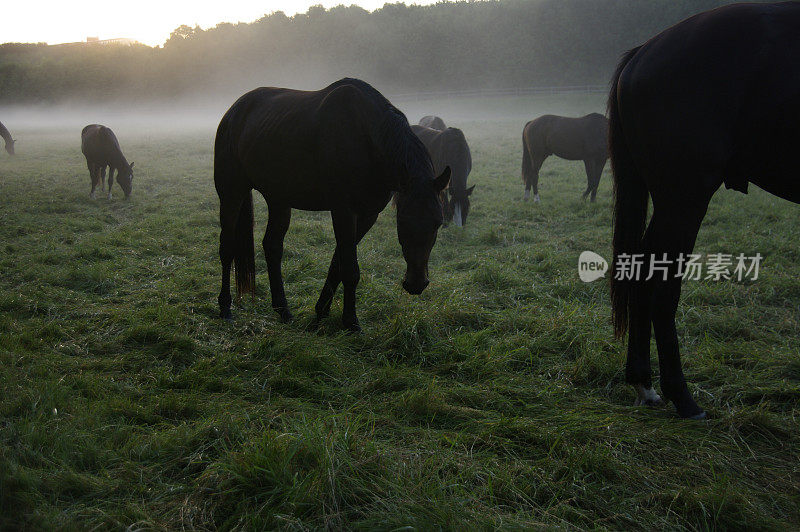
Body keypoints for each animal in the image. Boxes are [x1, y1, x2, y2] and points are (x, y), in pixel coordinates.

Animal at [214, 78, 450, 330]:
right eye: (403, 221)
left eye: (438, 223)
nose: (416, 284)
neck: (367, 138)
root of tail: (234, 111)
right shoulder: (343, 211)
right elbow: (349, 269)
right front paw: (351, 322)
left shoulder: (368, 215)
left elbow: (338, 263)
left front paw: (321, 311)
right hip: (232, 192)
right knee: (227, 246)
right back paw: (225, 307)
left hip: (278, 200)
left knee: (272, 246)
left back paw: (283, 310)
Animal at [608, 2, 796, 422]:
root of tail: (643, 52)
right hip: (684, 198)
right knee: (663, 283)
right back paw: (681, 395)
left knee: (642, 267)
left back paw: (644, 383)